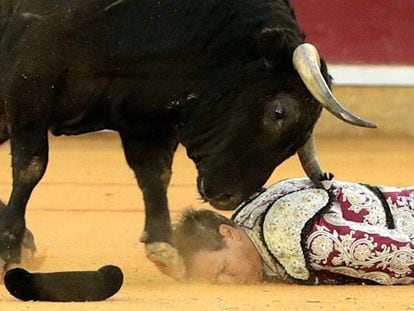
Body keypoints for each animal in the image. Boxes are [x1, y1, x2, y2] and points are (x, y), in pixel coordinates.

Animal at [0, 0, 376, 276]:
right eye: (279, 112)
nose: (228, 197)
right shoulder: (28, 94)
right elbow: (32, 167)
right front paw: (9, 250)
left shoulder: (145, 117)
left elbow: (155, 175)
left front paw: (164, 247)